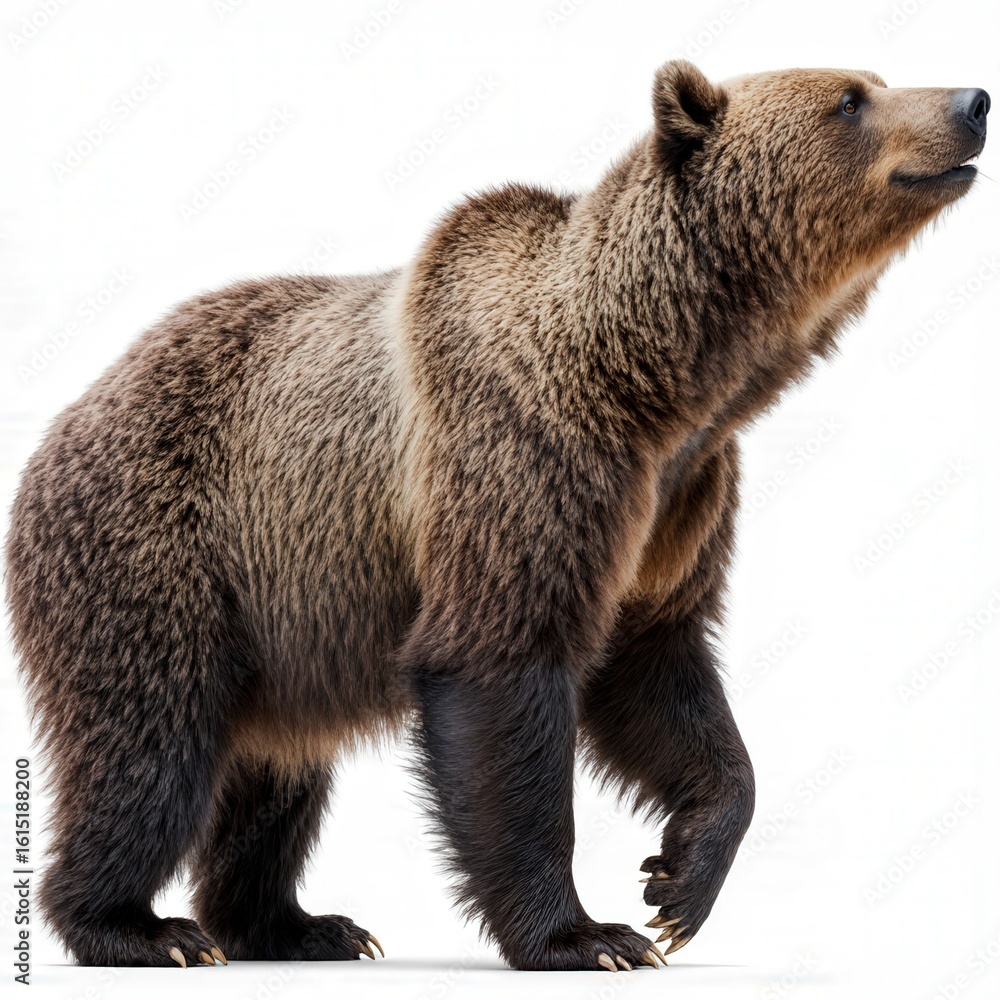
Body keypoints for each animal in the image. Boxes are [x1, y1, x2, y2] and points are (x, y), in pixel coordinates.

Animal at [5, 61, 989, 972]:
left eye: (872, 81)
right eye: (852, 99)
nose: (973, 101)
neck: (660, 383)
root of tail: (62, 425)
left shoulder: (675, 506)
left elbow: (662, 673)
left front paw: (678, 882)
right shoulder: (523, 457)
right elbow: (498, 673)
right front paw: (586, 934)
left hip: (282, 621)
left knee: (275, 775)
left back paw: (298, 924)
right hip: (162, 549)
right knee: (149, 747)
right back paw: (137, 926)